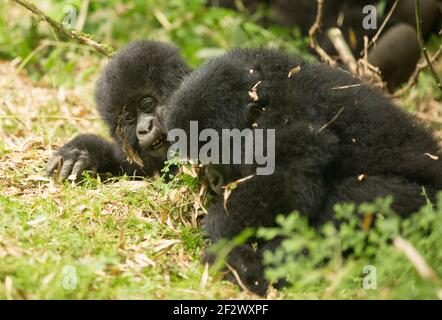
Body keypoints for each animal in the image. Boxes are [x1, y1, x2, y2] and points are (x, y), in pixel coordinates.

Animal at [166, 47, 442, 296]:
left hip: (426, 206)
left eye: (214, 152)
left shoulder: (287, 115)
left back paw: (252, 270)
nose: (213, 179)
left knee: (355, 200)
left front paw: (220, 230)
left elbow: (287, 180)